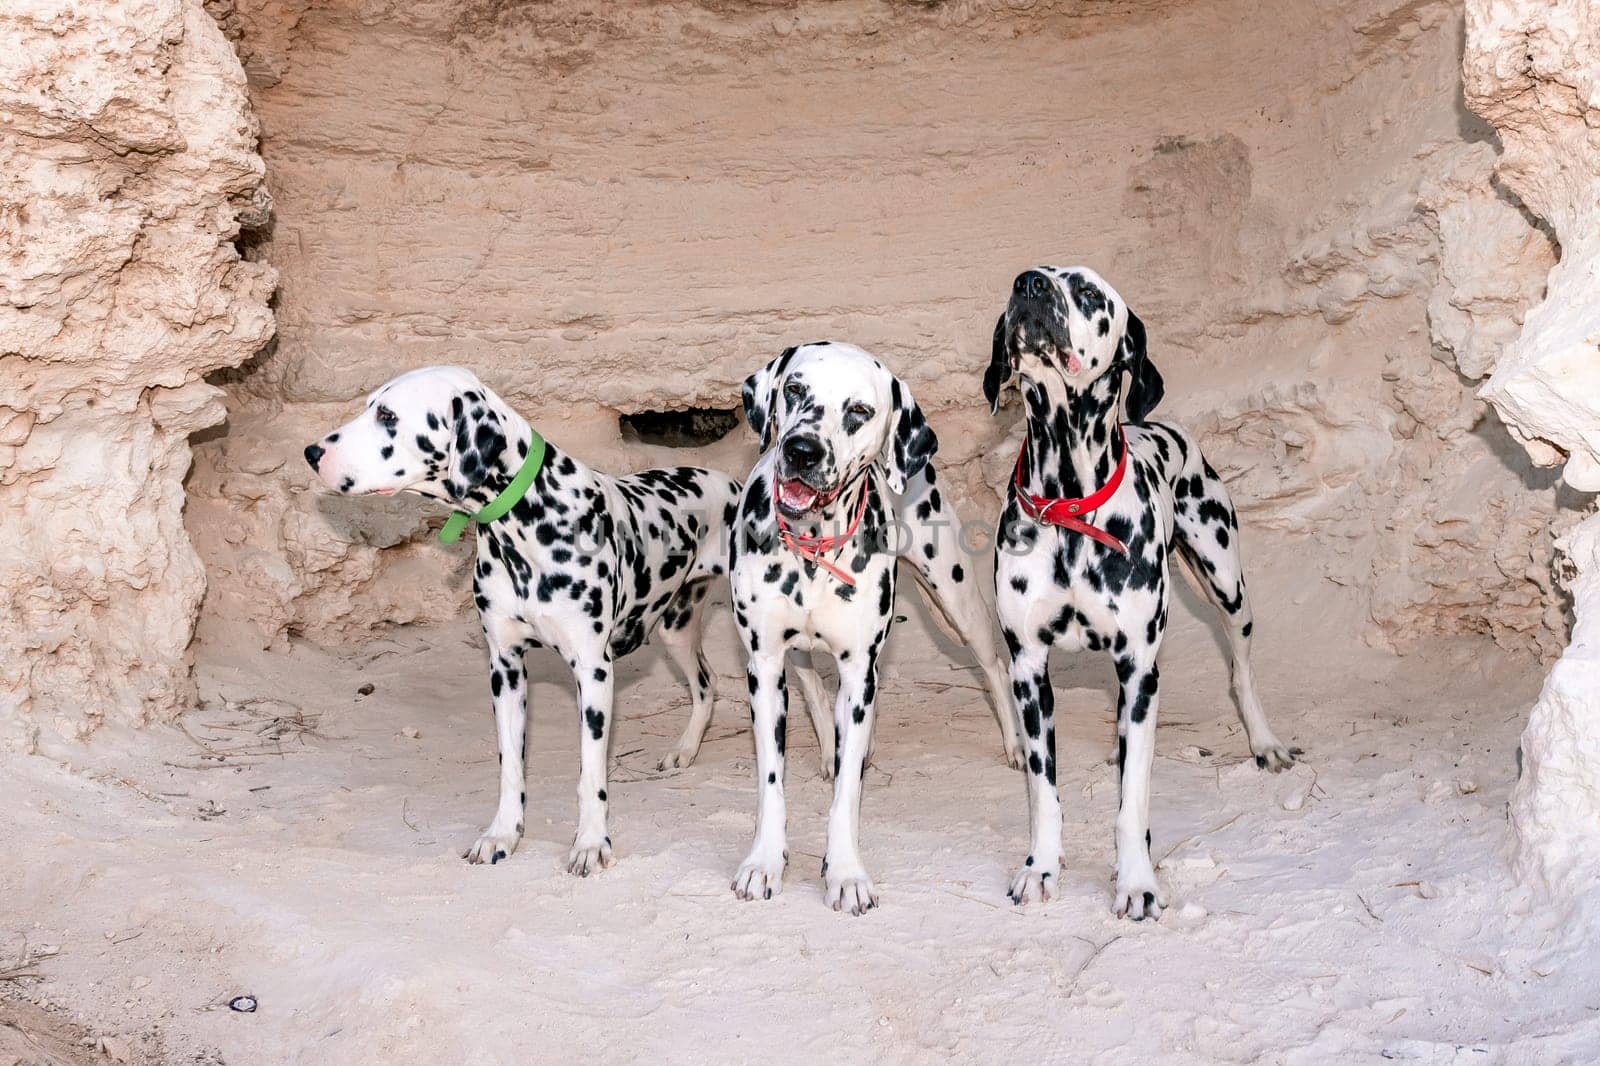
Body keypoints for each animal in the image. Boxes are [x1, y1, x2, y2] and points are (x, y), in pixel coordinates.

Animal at [729, 340, 1017, 915]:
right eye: (794, 388)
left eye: (860, 411)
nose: (801, 451)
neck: (814, 547)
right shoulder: (764, 666)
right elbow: (772, 780)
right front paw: (764, 861)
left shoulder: (859, 666)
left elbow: (846, 796)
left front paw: (844, 873)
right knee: (813, 684)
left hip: (954, 598)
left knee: (993, 665)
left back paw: (1015, 743)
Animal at [985, 264, 1299, 915]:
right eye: (1020, 282)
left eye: (1086, 291)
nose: (1027, 284)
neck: (1071, 507)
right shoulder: (1028, 670)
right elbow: (1043, 790)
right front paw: (1040, 867)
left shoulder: (1139, 664)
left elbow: (1132, 800)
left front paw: (1136, 881)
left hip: (1227, 585)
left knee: (1241, 670)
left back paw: (1263, 741)